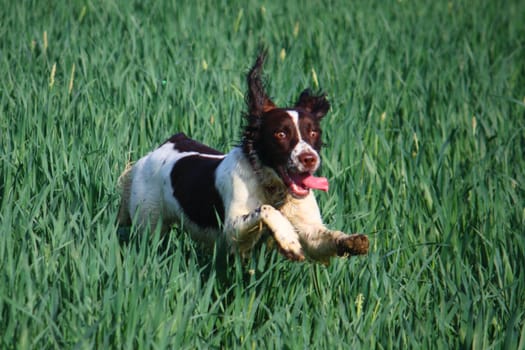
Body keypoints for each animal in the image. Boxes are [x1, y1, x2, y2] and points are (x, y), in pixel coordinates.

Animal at [117, 52, 368, 262]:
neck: (272, 187)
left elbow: (324, 237)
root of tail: (155, 151)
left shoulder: (310, 230)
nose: (310, 158)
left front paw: (353, 240)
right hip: (148, 222)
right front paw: (288, 240)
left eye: (313, 132)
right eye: (281, 133)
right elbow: (266, 211)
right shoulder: (232, 231)